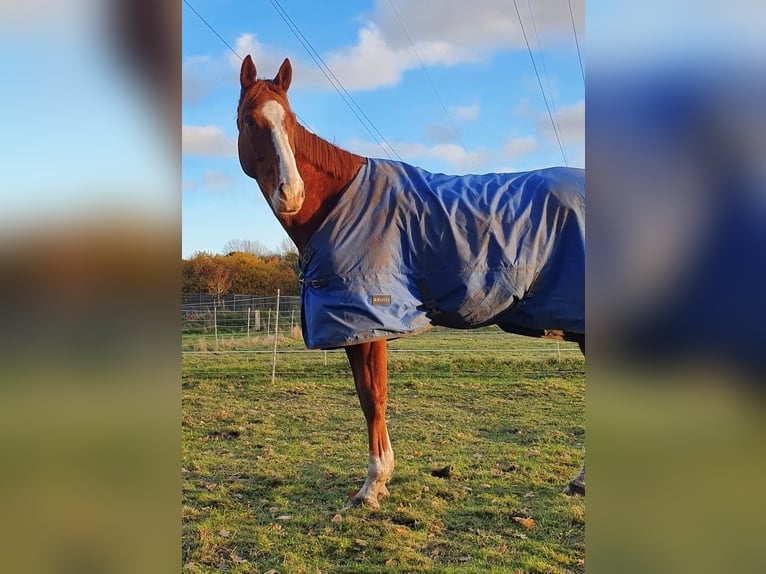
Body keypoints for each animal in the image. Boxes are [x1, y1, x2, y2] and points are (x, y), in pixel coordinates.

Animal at [237, 56, 584, 510]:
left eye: (291, 122)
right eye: (250, 120)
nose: (291, 193)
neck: (340, 202)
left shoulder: (369, 324)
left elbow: (373, 399)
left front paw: (373, 484)